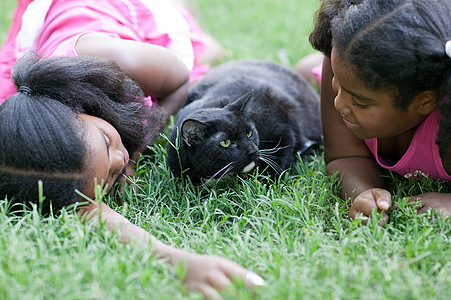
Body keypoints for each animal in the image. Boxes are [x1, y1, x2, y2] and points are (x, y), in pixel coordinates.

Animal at [168, 59, 324, 183]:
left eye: (249, 133)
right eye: (225, 143)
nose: (253, 151)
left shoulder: (282, 128)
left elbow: (279, 157)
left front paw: (267, 183)